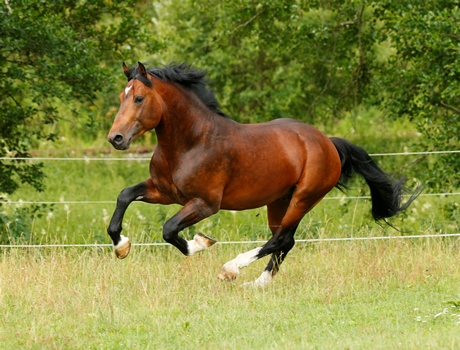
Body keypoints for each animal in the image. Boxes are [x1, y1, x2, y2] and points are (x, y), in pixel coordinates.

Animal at [105, 62, 420, 288]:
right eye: (121, 97)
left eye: (139, 98)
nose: (116, 138)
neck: (191, 142)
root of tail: (327, 142)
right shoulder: (164, 192)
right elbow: (124, 196)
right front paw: (122, 247)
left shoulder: (205, 203)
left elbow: (170, 229)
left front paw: (201, 242)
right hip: (279, 201)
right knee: (285, 241)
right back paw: (258, 284)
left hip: (304, 198)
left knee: (279, 240)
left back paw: (231, 270)